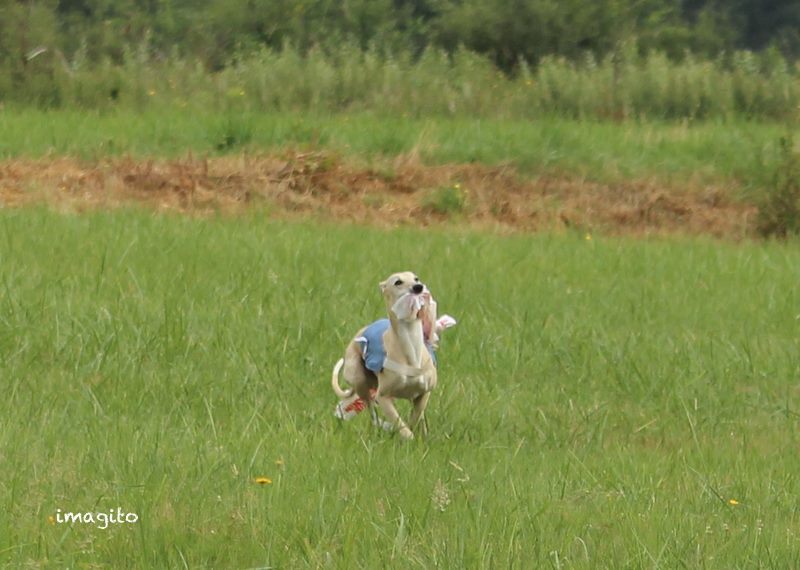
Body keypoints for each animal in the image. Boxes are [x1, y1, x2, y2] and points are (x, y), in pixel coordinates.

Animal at [332, 270, 438, 440]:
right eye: (398, 282)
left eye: (416, 278)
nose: (418, 287)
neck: (411, 351)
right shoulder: (383, 397)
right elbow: (400, 423)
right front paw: (406, 435)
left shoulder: (424, 393)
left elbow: (415, 416)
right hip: (359, 378)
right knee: (372, 413)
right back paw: (384, 426)